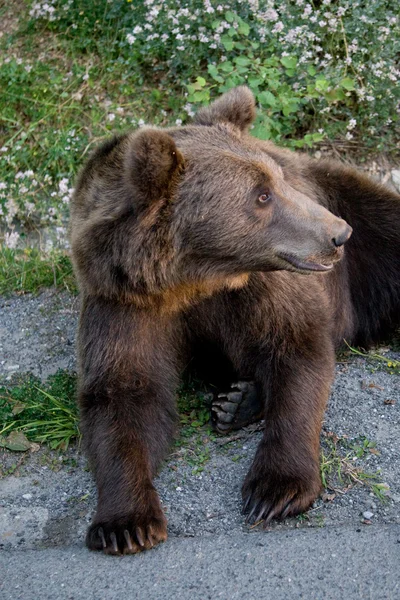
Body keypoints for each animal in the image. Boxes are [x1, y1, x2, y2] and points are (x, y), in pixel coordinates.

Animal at [70, 86, 400, 556]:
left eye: (278, 180)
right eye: (261, 195)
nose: (338, 234)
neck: (195, 281)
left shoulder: (262, 284)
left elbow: (297, 351)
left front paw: (276, 489)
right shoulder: (125, 304)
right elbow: (122, 393)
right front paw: (125, 522)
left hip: (369, 230)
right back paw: (237, 400)